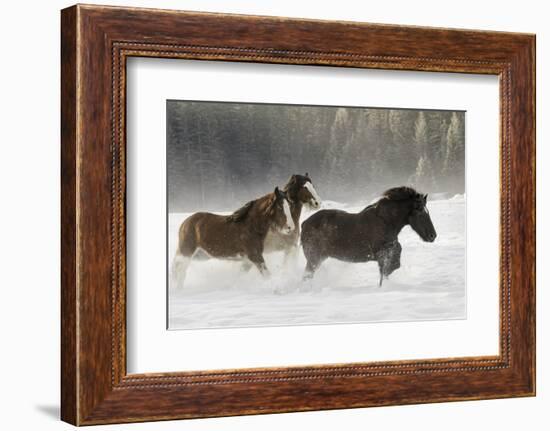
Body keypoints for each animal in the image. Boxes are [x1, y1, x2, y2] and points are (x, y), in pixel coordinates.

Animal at [300, 186, 438, 286]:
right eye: (420, 212)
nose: (433, 236)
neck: (385, 221)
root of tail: (304, 223)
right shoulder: (382, 254)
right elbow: (390, 266)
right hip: (314, 259)